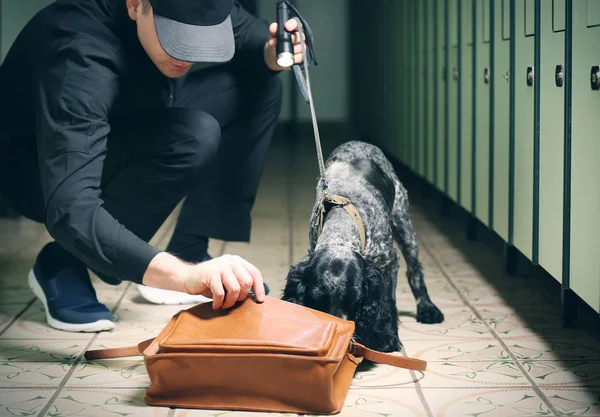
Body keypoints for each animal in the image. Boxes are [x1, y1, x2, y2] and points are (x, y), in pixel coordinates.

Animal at [280, 141, 440, 356]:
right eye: (317, 300)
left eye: (355, 300)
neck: (341, 231)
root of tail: (358, 142)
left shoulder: (388, 260)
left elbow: (388, 300)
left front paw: (385, 337)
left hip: (403, 222)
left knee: (414, 271)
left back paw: (428, 309)